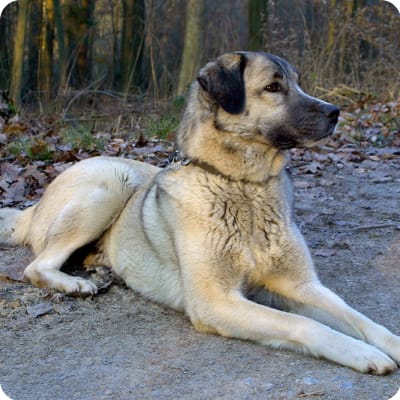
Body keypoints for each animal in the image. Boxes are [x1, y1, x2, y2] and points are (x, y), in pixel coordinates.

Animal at [0, 51, 400, 374]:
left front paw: (388, 343)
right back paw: (74, 283)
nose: (336, 112)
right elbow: (305, 325)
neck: (243, 185)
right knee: (36, 266)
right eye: (273, 87)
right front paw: (361, 353)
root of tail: (34, 205)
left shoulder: (301, 286)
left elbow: (360, 319)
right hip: (113, 181)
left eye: (298, 83)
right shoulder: (216, 301)